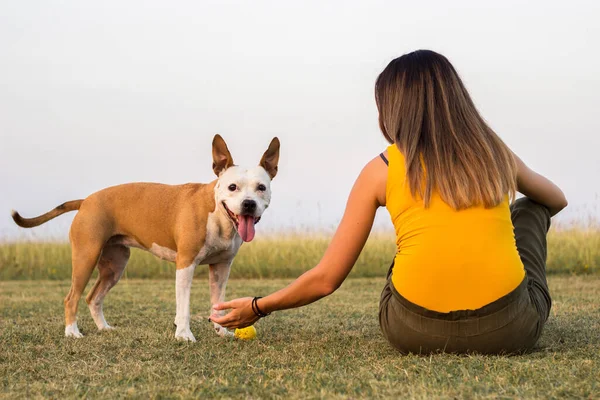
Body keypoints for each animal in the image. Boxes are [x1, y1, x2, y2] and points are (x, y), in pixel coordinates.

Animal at [10, 136, 280, 342]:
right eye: (232, 187)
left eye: (261, 187)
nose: (248, 204)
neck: (218, 214)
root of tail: (86, 201)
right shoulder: (185, 265)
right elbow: (184, 306)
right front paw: (184, 335)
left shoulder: (221, 268)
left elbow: (217, 302)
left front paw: (221, 330)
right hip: (86, 257)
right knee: (71, 297)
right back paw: (72, 332)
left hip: (114, 266)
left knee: (93, 297)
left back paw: (104, 327)